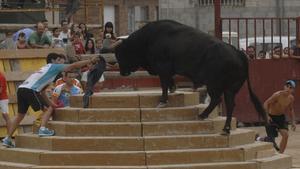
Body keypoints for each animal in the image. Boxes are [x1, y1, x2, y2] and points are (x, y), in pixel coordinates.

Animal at [116, 19, 268, 135]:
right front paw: (172, 89)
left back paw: (204, 117)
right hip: (229, 89)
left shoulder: (163, 67)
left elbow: (163, 84)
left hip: (215, 86)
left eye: (121, 54)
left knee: (217, 100)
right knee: (229, 104)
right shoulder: (167, 70)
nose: (122, 72)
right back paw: (224, 128)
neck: (148, 39)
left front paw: (163, 101)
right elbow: (169, 81)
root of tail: (238, 53)